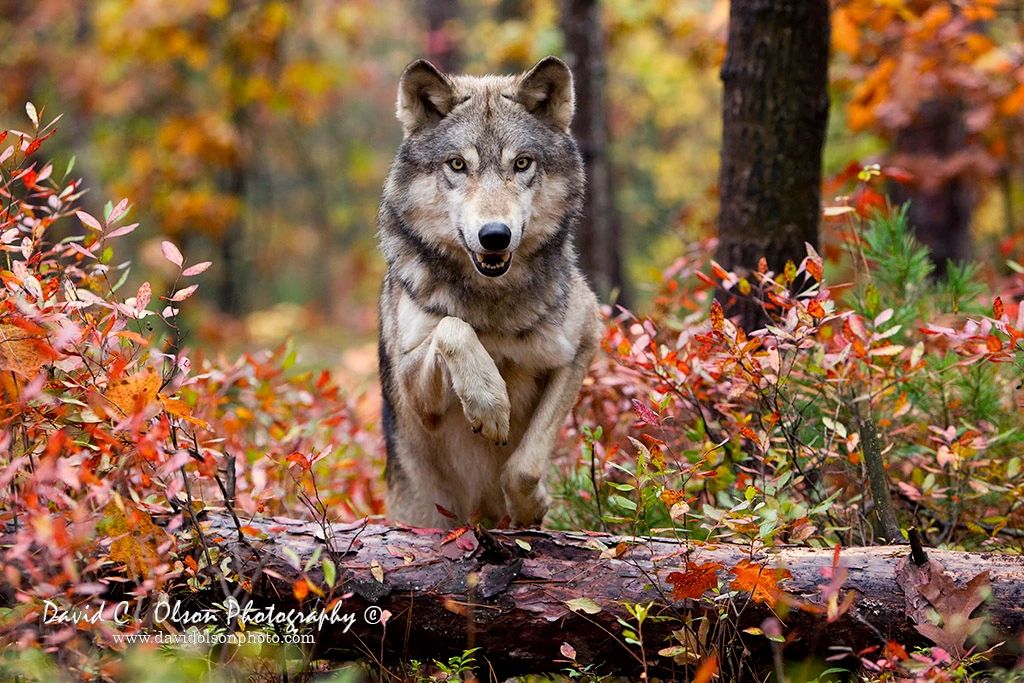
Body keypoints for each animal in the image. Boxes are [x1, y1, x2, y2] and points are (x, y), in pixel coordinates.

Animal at [377, 56, 601, 528]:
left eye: (522, 163)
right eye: (458, 165)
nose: (495, 235)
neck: (494, 302)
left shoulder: (584, 342)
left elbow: (524, 466)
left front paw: (531, 508)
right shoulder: (415, 396)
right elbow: (453, 327)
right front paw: (490, 403)